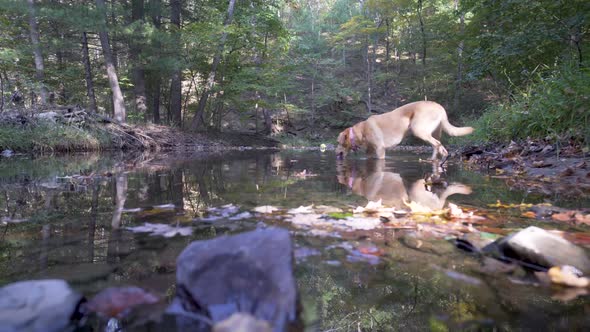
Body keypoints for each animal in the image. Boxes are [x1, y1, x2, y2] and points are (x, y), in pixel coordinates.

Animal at [338, 100, 476, 160]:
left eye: (338, 143)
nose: (336, 153)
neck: (361, 131)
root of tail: (440, 107)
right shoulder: (370, 151)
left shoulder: (380, 149)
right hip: (435, 133)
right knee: (440, 146)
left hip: (418, 130)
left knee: (436, 145)